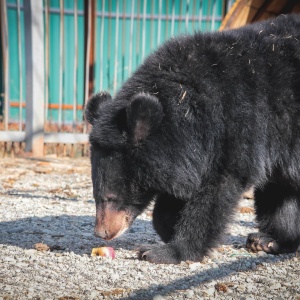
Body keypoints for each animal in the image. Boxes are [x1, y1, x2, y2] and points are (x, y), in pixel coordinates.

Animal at [85, 14, 300, 262]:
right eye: (95, 195)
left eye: (111, 197)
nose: (102, 233)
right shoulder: (187, 154)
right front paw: (168, 229)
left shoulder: (239, 128)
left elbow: (216, 193)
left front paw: (165, 251)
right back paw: (267, 240)